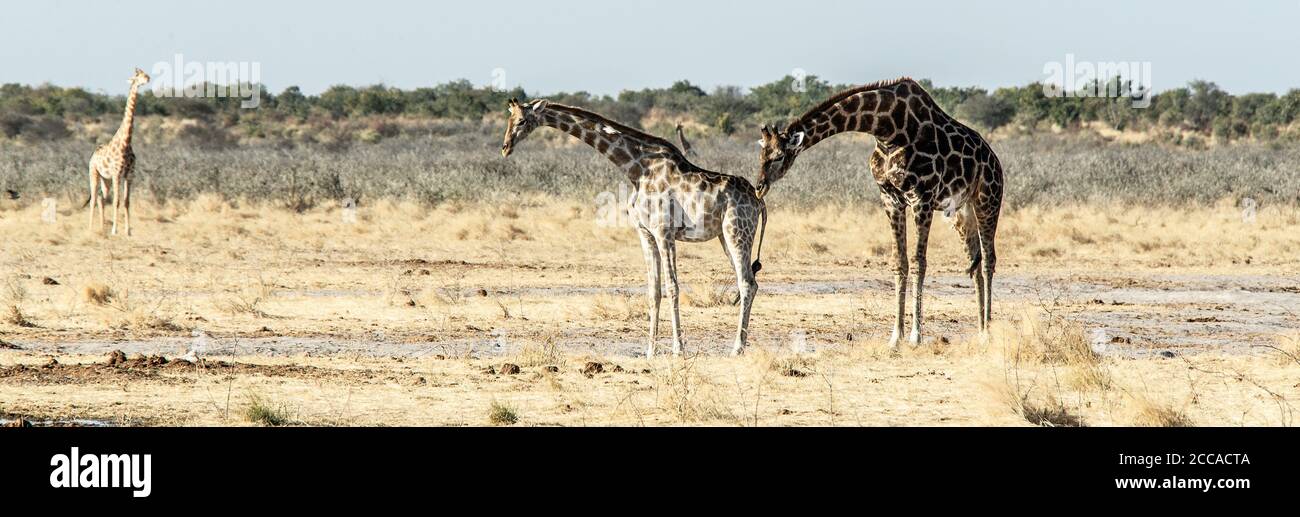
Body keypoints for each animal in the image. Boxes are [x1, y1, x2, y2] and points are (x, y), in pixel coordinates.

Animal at [85, 67, 148, 236]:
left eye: (144, 73)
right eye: (137, 76)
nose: (148, 78)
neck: (126, 143)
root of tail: (92, 156)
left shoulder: (129, 175)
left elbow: (126, 201)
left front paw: (128, 231)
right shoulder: (116, 174)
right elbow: (116, 201)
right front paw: (114, 230)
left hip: (105, 180)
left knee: (101, 199)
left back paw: (101, 228)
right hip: (94, 174)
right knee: (94, 199)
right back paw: (90, 228)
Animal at [501, 98, 764, 355]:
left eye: (522, 120)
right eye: (509, 119)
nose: (505, 147)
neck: (636, 170)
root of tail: (758, 200)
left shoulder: (664, 232)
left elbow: (672, 287)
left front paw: (678, 350)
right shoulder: (645, 233)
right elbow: (653, 290)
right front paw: (650, 351)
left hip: (737, 231)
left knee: (747, 283)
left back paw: (737, 348)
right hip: (724, 236)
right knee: (748, 282)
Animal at [754, 78, 1003, 348]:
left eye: (778, 156)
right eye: (761, 155)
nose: (759, 187)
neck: (886, 130)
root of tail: (994, 159)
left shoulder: (922, 199)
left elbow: (919, 262)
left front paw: (915, 336)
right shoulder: (891, 199)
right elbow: (899, 262)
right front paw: (896, 336)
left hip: (988, 200)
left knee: (988, 260)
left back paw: (989, 332)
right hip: (960, 212)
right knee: (975, 263)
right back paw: (980, 330)